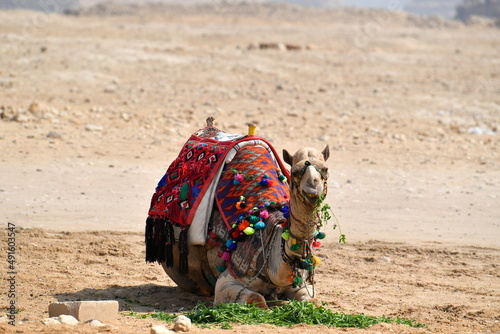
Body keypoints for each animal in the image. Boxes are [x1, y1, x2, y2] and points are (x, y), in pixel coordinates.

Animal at [146, 120, 330, 308]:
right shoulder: (229, 279)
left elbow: (315, 301)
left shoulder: (302, 284)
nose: (312, 187)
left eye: (325, 169)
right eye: (295, 172)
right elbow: (256, 298)